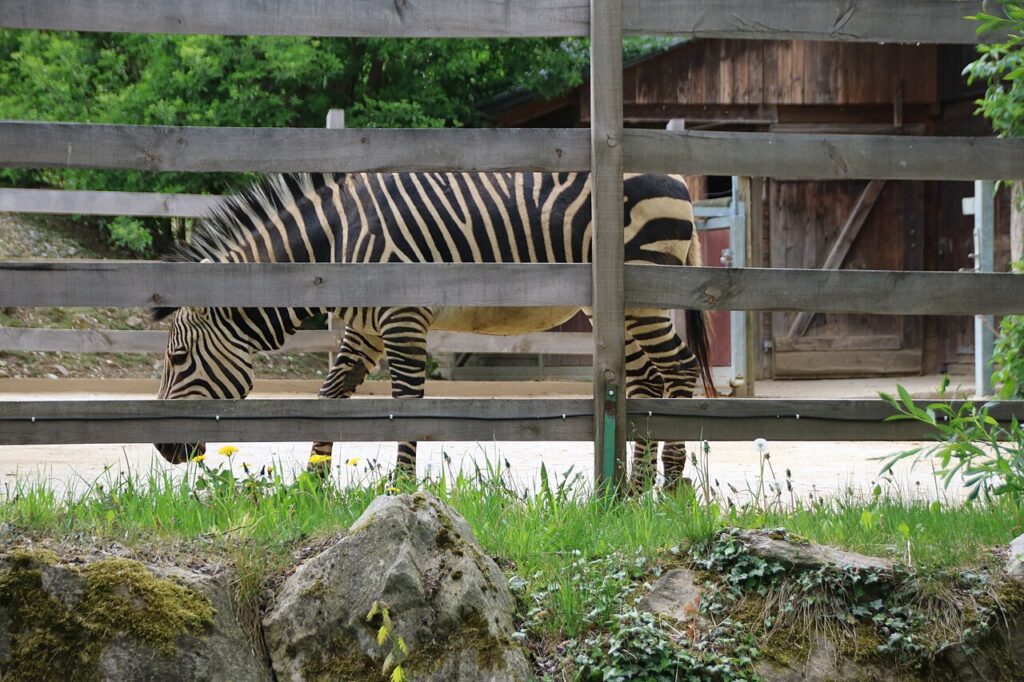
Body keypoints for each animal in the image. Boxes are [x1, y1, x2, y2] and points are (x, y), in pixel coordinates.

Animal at [152, 171, 714, 488]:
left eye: (177, 360)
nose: (161, 450)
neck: (335, 244)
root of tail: (678, 181)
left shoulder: (402, 319)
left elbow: (407, 405)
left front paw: (401, 492)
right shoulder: (364, 332)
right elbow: (329, 396)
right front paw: (311, 486)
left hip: (644, 295)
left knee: (679, 369)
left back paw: (670, 483)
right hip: (616, 311)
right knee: (646, 380)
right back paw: (633, 490)